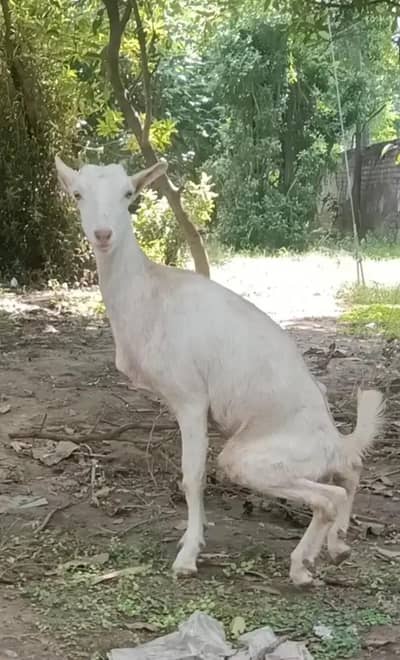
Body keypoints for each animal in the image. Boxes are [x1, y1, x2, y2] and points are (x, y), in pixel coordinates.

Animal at [55, 156, 384, 587]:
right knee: (349, 471)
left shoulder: (191, 398)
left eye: (129, 193)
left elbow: (192, 476)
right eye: (77, 194)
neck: (151, 295)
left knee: (330, 494)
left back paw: (304, 562)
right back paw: (331, 549)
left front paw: (187, 556)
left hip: (255, 456)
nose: (103, 234)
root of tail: (333, 437)